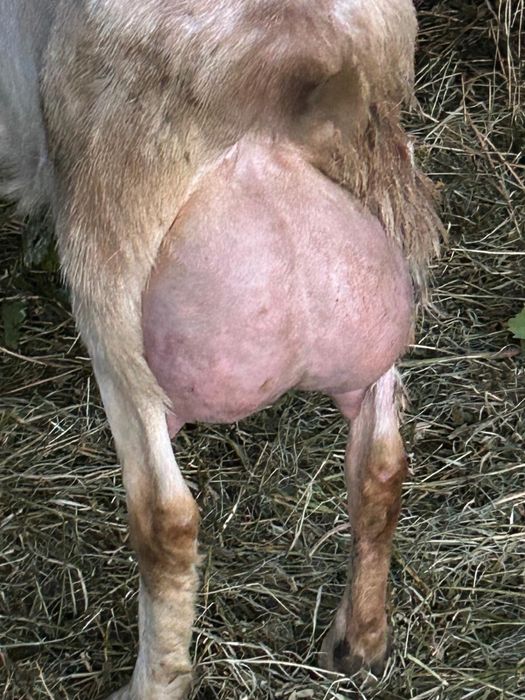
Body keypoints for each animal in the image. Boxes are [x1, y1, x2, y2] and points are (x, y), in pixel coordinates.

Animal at [0, 1, 442, 697]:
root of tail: (299, 64)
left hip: (110, 274)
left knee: (165, 516)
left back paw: (153, 683)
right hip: (382, 246)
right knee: (381, 459)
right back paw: (361, 639)